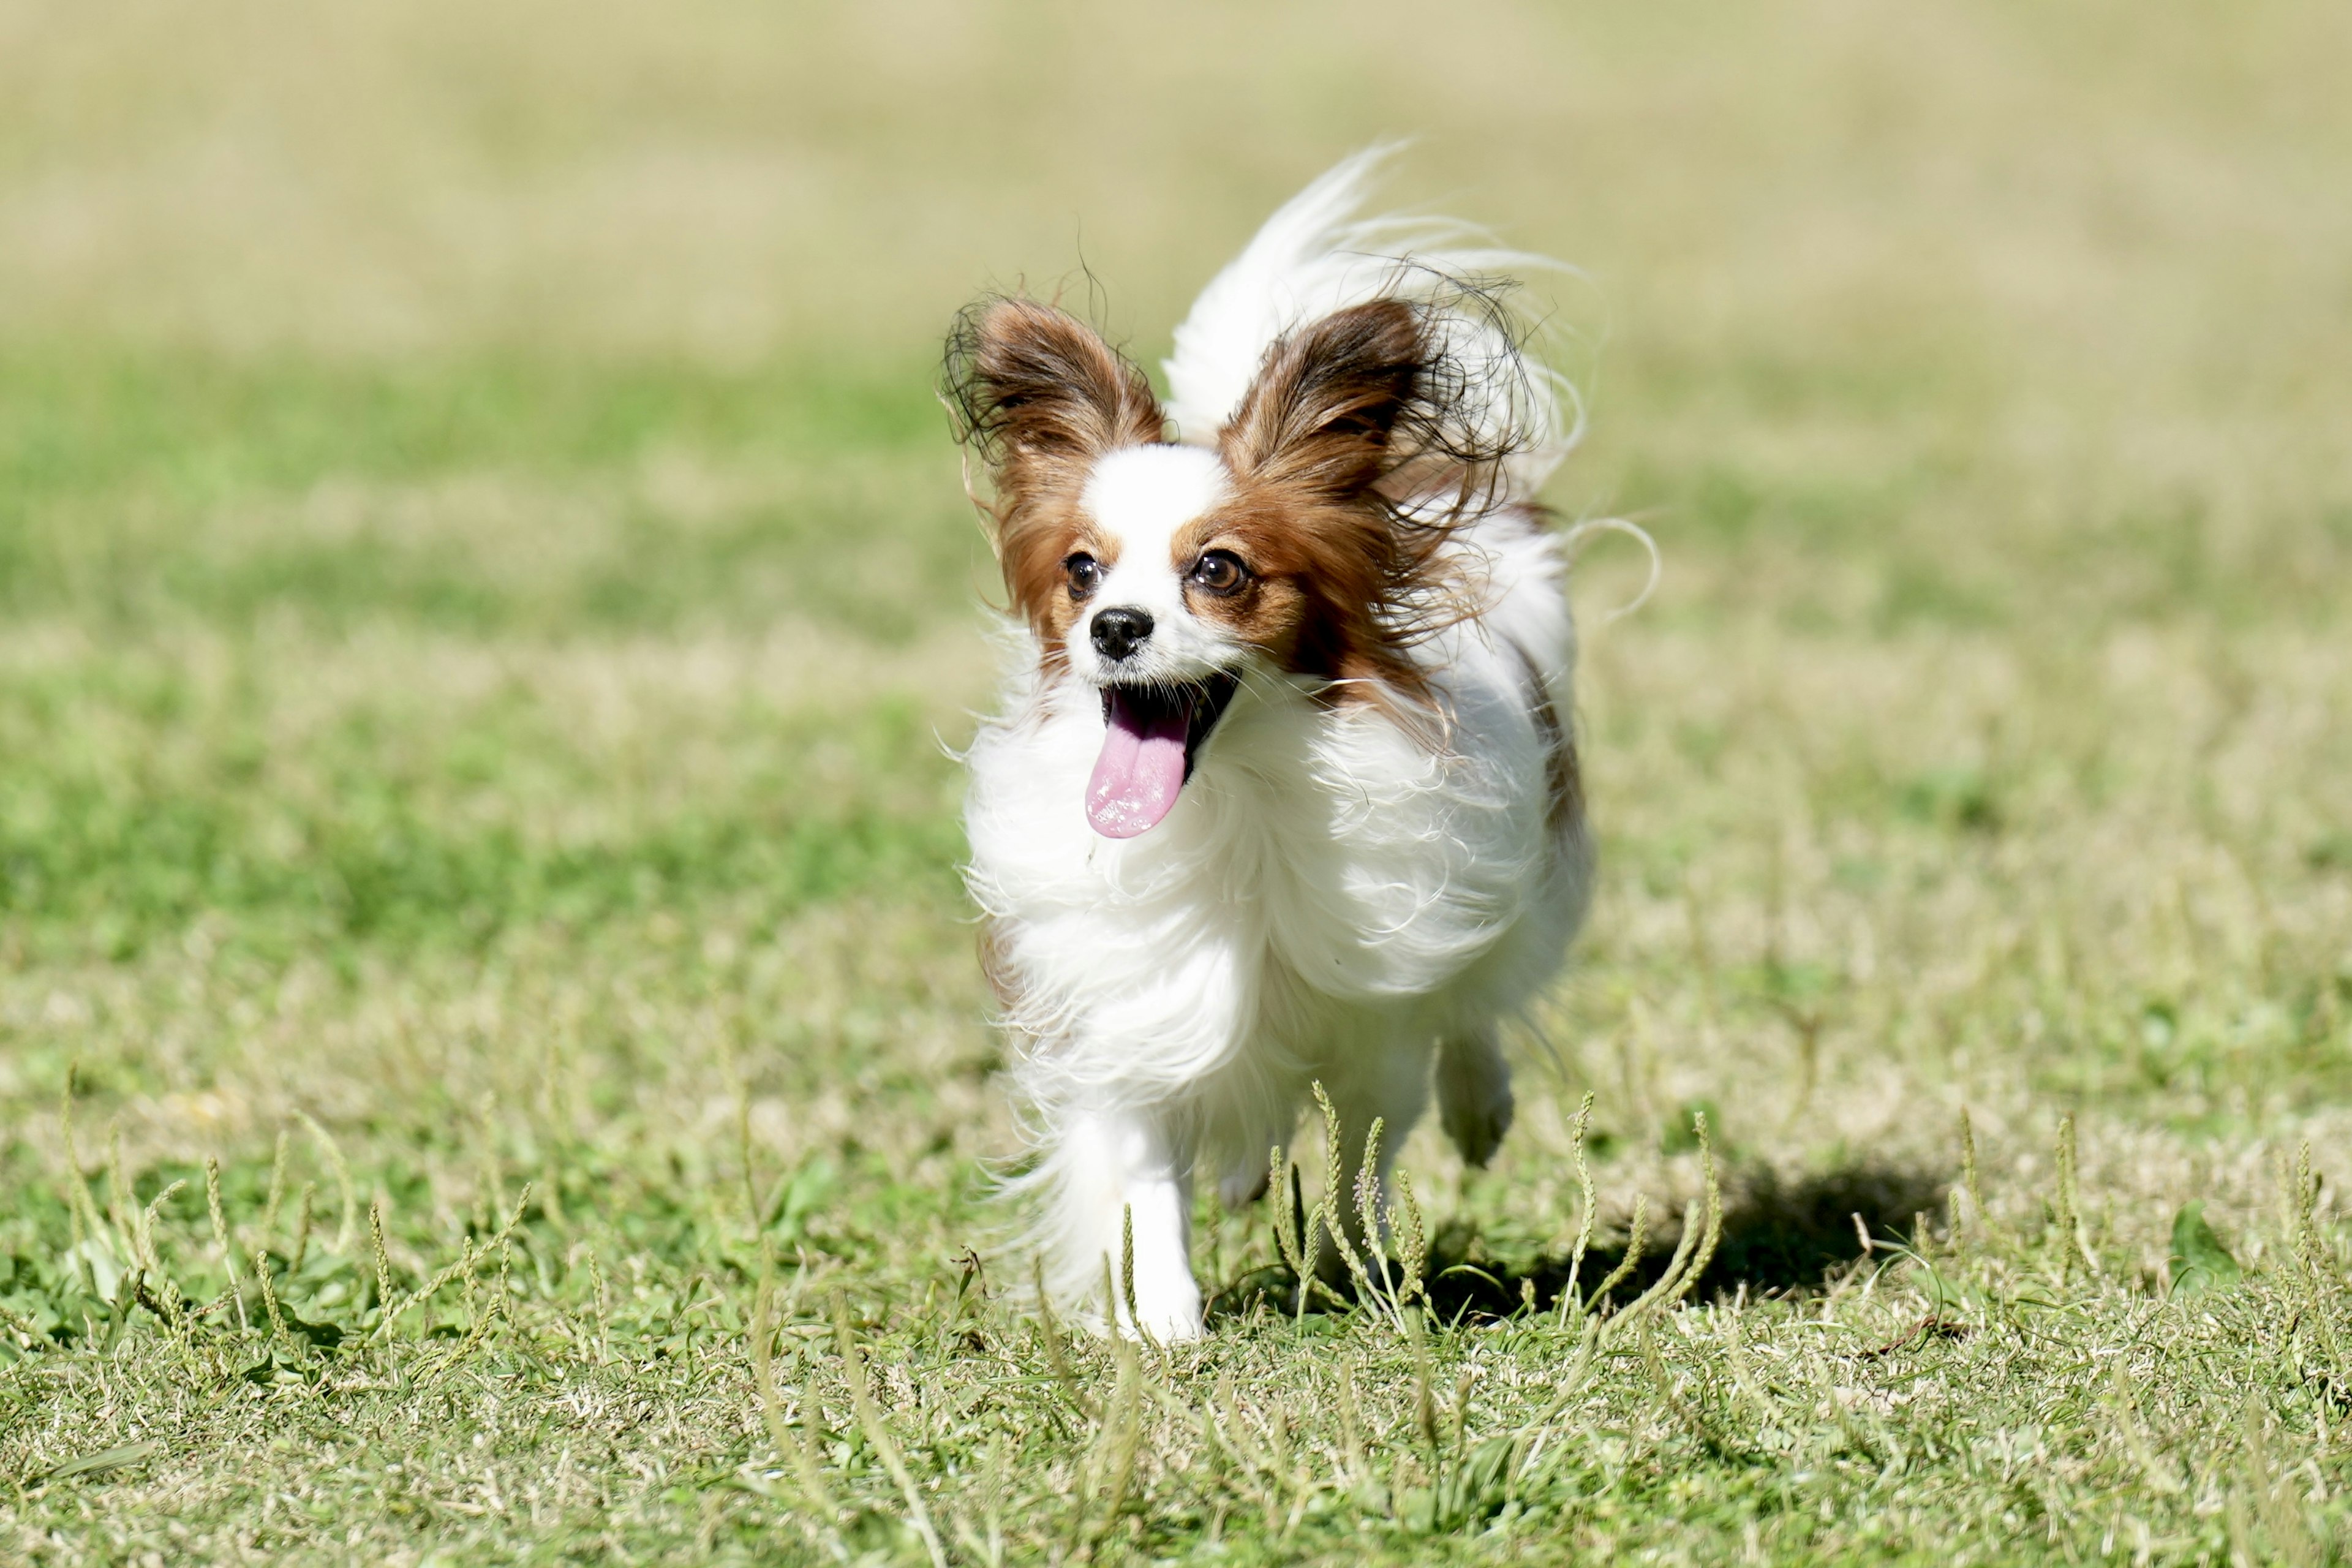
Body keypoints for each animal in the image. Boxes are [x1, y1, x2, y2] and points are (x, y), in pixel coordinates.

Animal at [945, 153, 1589, 1344]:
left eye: (1219, 570)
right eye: (1082, 572)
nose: (1117, 629)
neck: (1230, 803)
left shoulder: (1380, 1016)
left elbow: (1361, 1155)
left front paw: (1364, 1272)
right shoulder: (1133, 1000)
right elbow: (1146, 1177)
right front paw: (1163, 1316)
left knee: (1480, 1003)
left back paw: (1481, 1107)